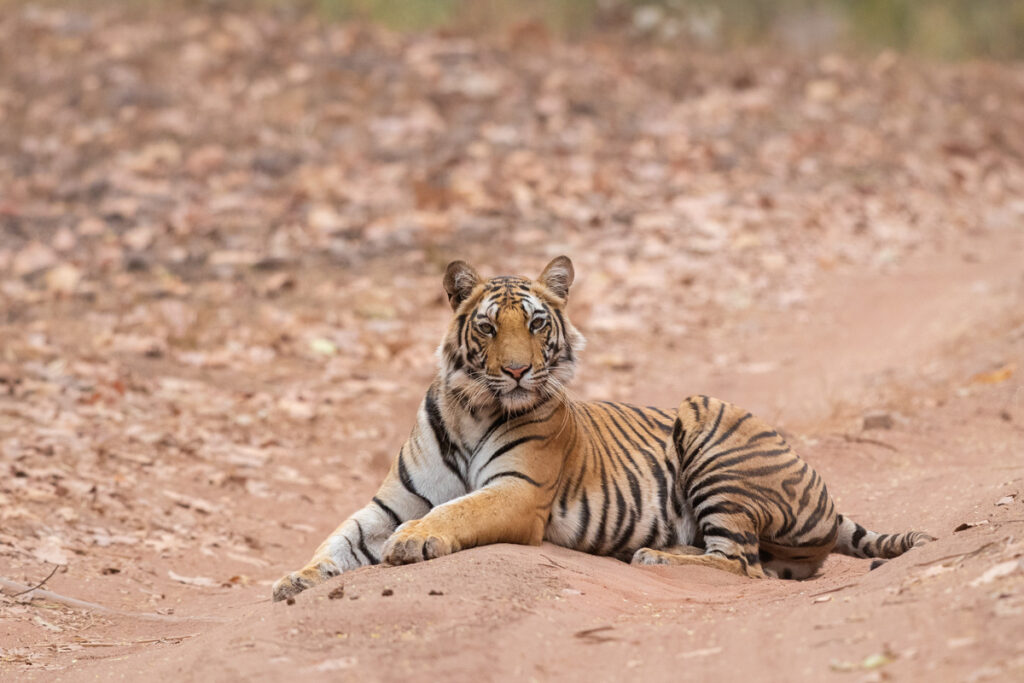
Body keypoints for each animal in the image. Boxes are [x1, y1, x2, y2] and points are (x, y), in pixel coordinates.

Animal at [272, 258, 937, 602]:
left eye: (537, 324)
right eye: (487, 327)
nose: (516, 371)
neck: (472, 409)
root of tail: (825, 496)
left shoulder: (518, 494)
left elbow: (457, 510)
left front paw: (413, 542)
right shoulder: (388, 502)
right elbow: (338, 539)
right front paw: (294, 579)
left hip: (708, 420)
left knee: (741, 562)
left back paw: (656, 555)